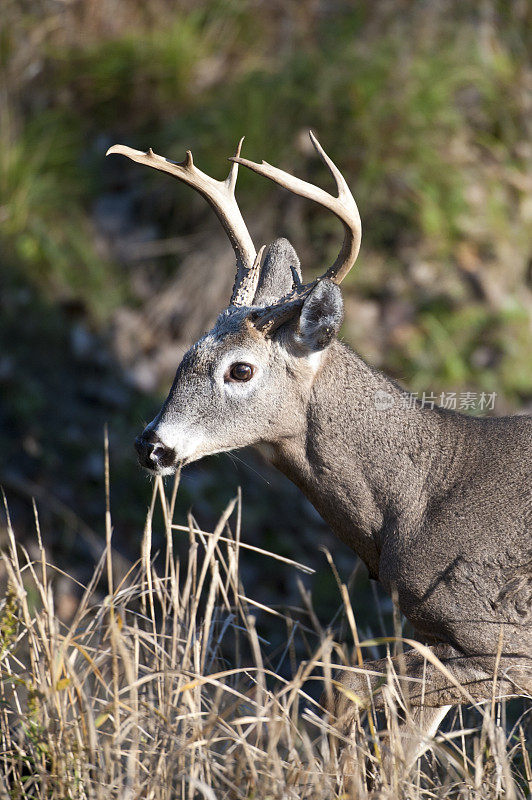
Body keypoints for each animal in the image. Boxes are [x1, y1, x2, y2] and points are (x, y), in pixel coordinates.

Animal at [108, 133, 532, 764]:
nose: (150, 445)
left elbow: (349, 685)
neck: (419, 502)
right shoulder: (434, 631)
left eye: (240, 369)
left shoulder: (501, 634)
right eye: (185, 353)